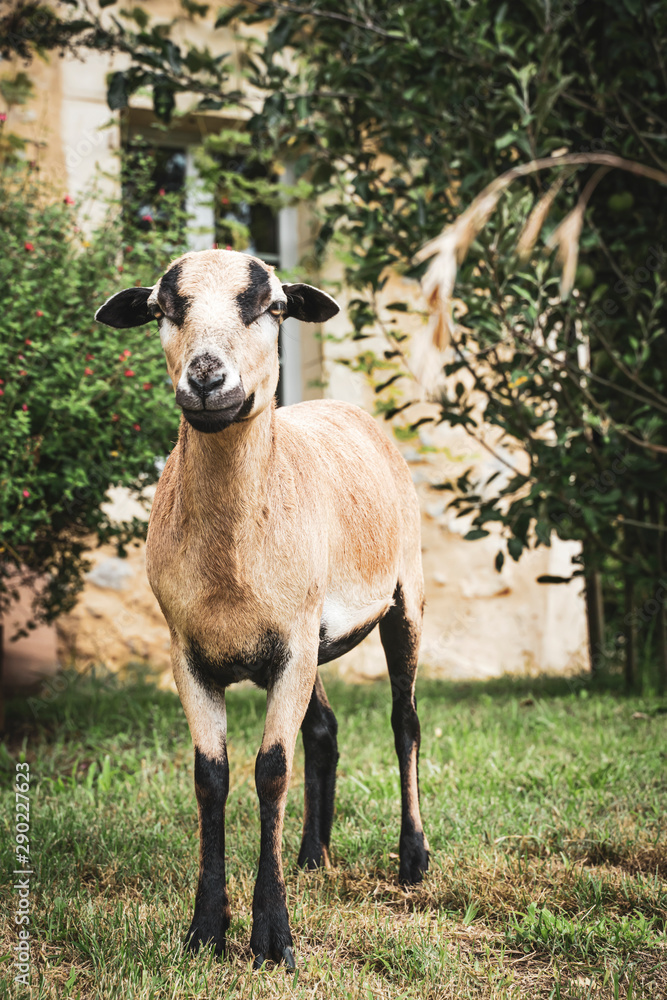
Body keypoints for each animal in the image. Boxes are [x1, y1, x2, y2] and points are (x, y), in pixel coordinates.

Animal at [95, 249, 429, 970]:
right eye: (163, 309)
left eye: (271, 307)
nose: (206, 379)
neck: (232, 555)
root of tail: (342, 407)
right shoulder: (190, 652)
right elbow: (211, 777)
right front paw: (204, 930)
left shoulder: (294, 645)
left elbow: (271, 771)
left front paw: (272, 936)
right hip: (310, 641)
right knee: (324, 730)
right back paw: (313, 857)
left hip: (402, 597)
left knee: (405, 722)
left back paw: (413, 857)